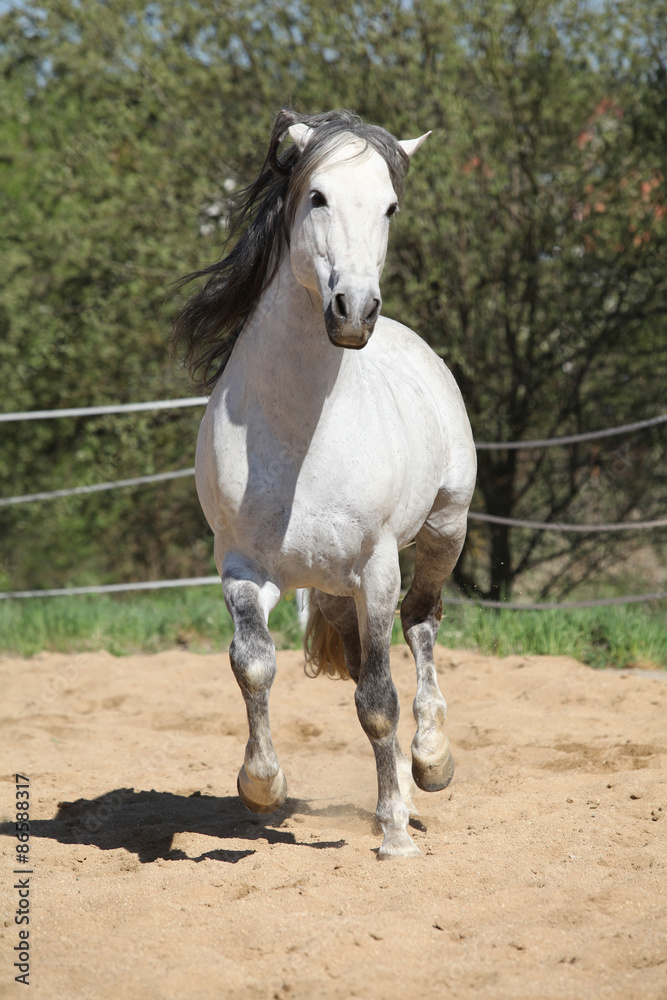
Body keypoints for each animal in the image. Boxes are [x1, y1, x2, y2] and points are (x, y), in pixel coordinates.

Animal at [172, 109, 476, 858]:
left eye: (390, 207)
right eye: (317, 197)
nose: (353, 311)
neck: (299, 433)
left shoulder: (376, 569)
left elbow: (378, 700)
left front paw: (393, 834)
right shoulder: (242, 567)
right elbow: (252, 662)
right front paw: (261, 786)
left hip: (441, 532)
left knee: (421, 623)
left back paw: (430, 764)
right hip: (327, 585)